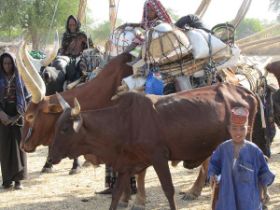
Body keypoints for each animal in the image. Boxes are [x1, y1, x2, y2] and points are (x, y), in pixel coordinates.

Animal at [50, 83, 258, 210]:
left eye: (65, 128)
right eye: (57, 126)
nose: (51, 157)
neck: (124, 121)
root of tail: (245, 91)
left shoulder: (159, 157)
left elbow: (168, 190)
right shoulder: (126, 164)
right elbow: (116, 195)